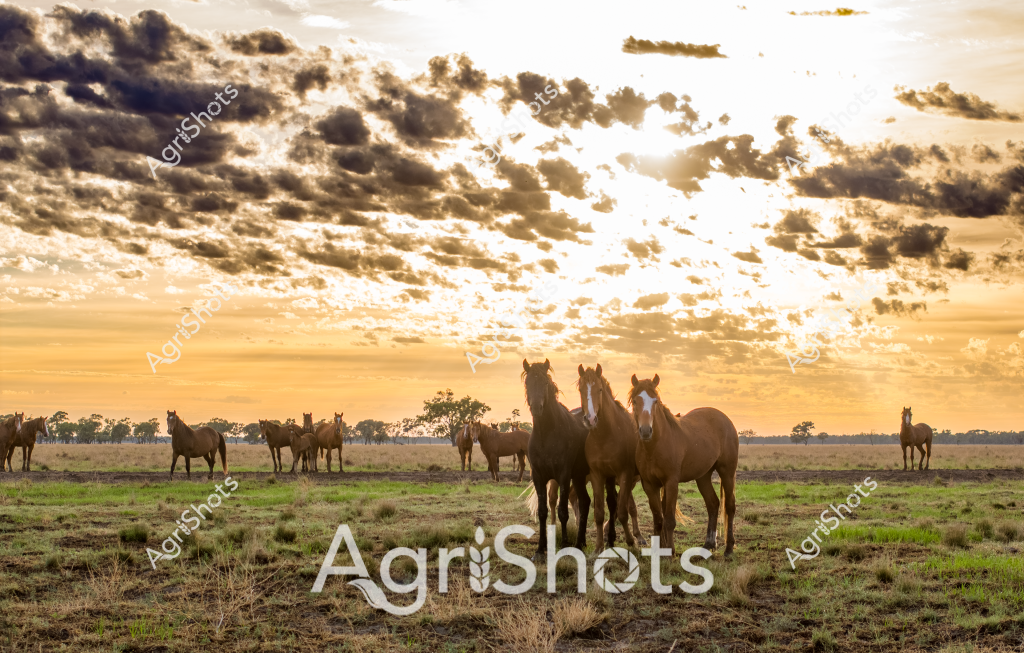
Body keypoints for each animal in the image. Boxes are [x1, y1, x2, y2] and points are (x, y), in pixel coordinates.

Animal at [523, 358, 591, 557]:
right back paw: (581, 542)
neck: (546, 434)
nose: (536, 407)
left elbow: (562, 511)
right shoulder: (538, 476)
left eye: (545, 383)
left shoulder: (563, 476)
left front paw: (565, 544)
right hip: (579, 477)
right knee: (585, 502)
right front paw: (540, 549)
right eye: (527, 383)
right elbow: (542, 511)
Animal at [578, 364, 648, 552]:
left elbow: (622, 512)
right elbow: (599, 513)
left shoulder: (624, 474)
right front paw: (599, 547)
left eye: (600, 389)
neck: (606, 435)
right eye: (580, 389)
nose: (590, 419)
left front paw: (630, 542)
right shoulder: (597, 476)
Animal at [629, 375, 739, 557]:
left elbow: (669, 520)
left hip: (727, 472)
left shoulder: (671, 482)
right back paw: (709, 544)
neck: (655, 446)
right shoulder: (649, 485)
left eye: (655, 401)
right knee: (713, 504)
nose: (645, 431)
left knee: (729, 507)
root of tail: (726, 420)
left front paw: (671, 552)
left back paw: (729, 548)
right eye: (635, 401)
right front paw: (658, 551)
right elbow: (658, 519)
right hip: (703, 477)